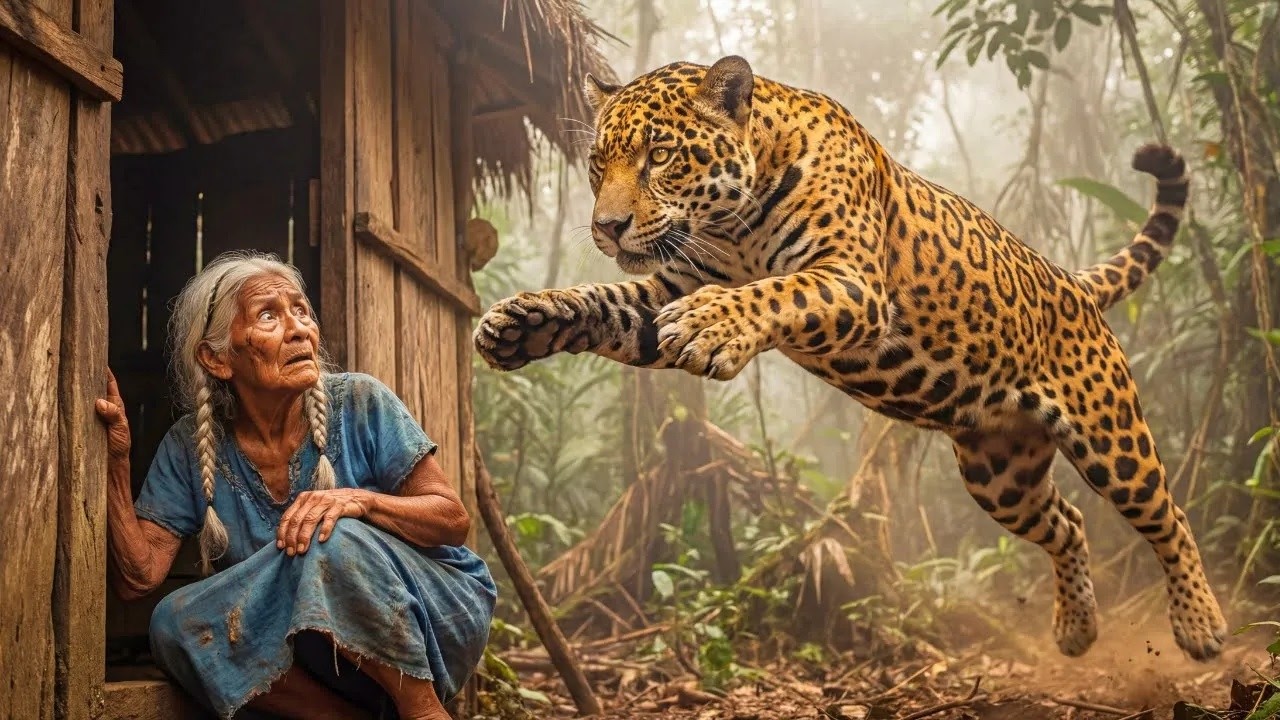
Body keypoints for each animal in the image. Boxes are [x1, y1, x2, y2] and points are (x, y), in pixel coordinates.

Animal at [473, 55, 1229, 661]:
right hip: (1000, 475)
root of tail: (1071, 284)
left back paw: (1200, 625)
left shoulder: (853, 283)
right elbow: (597, 303)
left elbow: (773, 290)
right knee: (1067, 524)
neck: (733, 220)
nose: (607, 226)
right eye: (599, 164)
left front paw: (715, 322)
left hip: (1111, 437)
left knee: (1168, 515)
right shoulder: (663, 289)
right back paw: (1076, 628)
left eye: (659, 156)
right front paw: (520, 321)